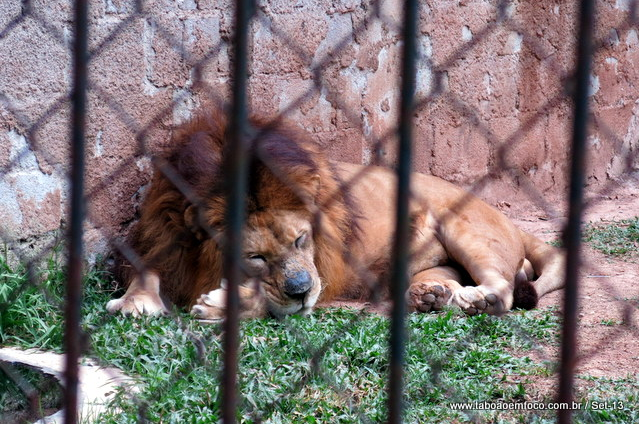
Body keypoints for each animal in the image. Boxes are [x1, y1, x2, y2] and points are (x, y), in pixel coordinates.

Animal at [107, 111, 568, 320]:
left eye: (301, 239)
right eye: (255, 256)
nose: (300, 290)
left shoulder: (324, 273)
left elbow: (271, 301)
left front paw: (224, 304)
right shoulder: (158, 242)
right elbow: (146, 273)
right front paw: (137, 303)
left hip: (465, 229)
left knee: (504, 290)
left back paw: (477, 299)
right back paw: (431, 296)